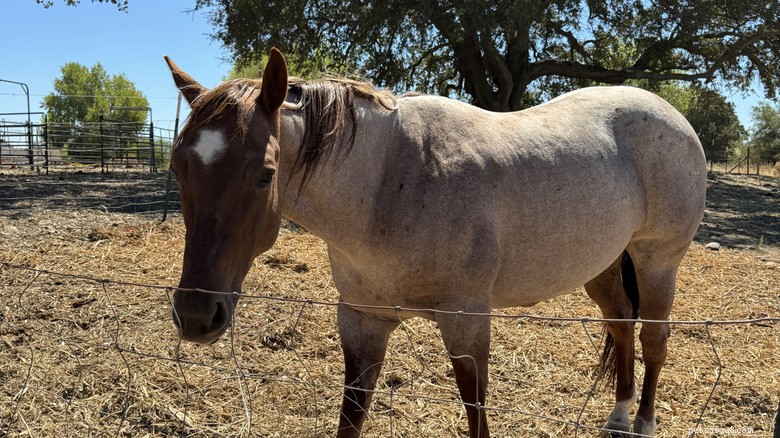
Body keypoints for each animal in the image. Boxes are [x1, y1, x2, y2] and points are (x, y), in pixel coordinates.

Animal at [164, 48, 706, 437]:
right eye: (178, 168)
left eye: (265, 175)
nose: (196, 314)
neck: (389, 182)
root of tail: (673, 116)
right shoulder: (362, 320)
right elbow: (352, 417)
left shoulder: (467, 323)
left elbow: (476, 413)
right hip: (603, 266)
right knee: (621, 325)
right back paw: (619, 416)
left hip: (657, 262)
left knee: (654, 338)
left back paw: (643, 423)